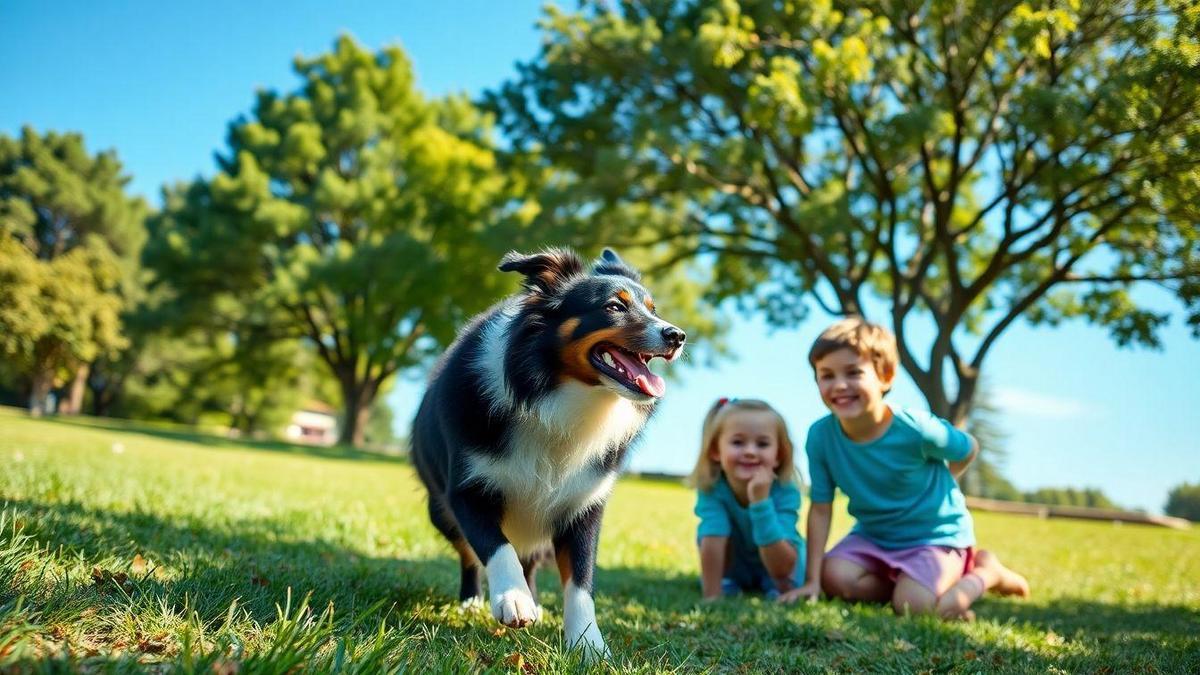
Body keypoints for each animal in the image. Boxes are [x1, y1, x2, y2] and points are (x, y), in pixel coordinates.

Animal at [410, 243, 686, 653]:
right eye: (614, 306)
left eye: (653, 309)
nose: (677, 335)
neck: (556, 394)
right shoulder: (467, 490)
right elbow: (495, 546)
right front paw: (512, 598)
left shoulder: (584, 504)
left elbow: (581, 581)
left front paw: (588, 644)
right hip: (439, 510)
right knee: (471, 554)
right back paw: (475, 600)